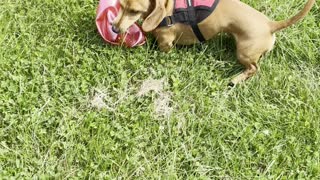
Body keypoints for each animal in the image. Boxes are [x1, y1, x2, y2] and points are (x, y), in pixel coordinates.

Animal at [112, 0, 316, 85]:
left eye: (134, 11)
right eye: (121, 5)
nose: (113, 28)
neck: (168, 9)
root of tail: (270, 25)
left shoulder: (166, 43)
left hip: (244, 53)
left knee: (254, 68)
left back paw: (236, 79)